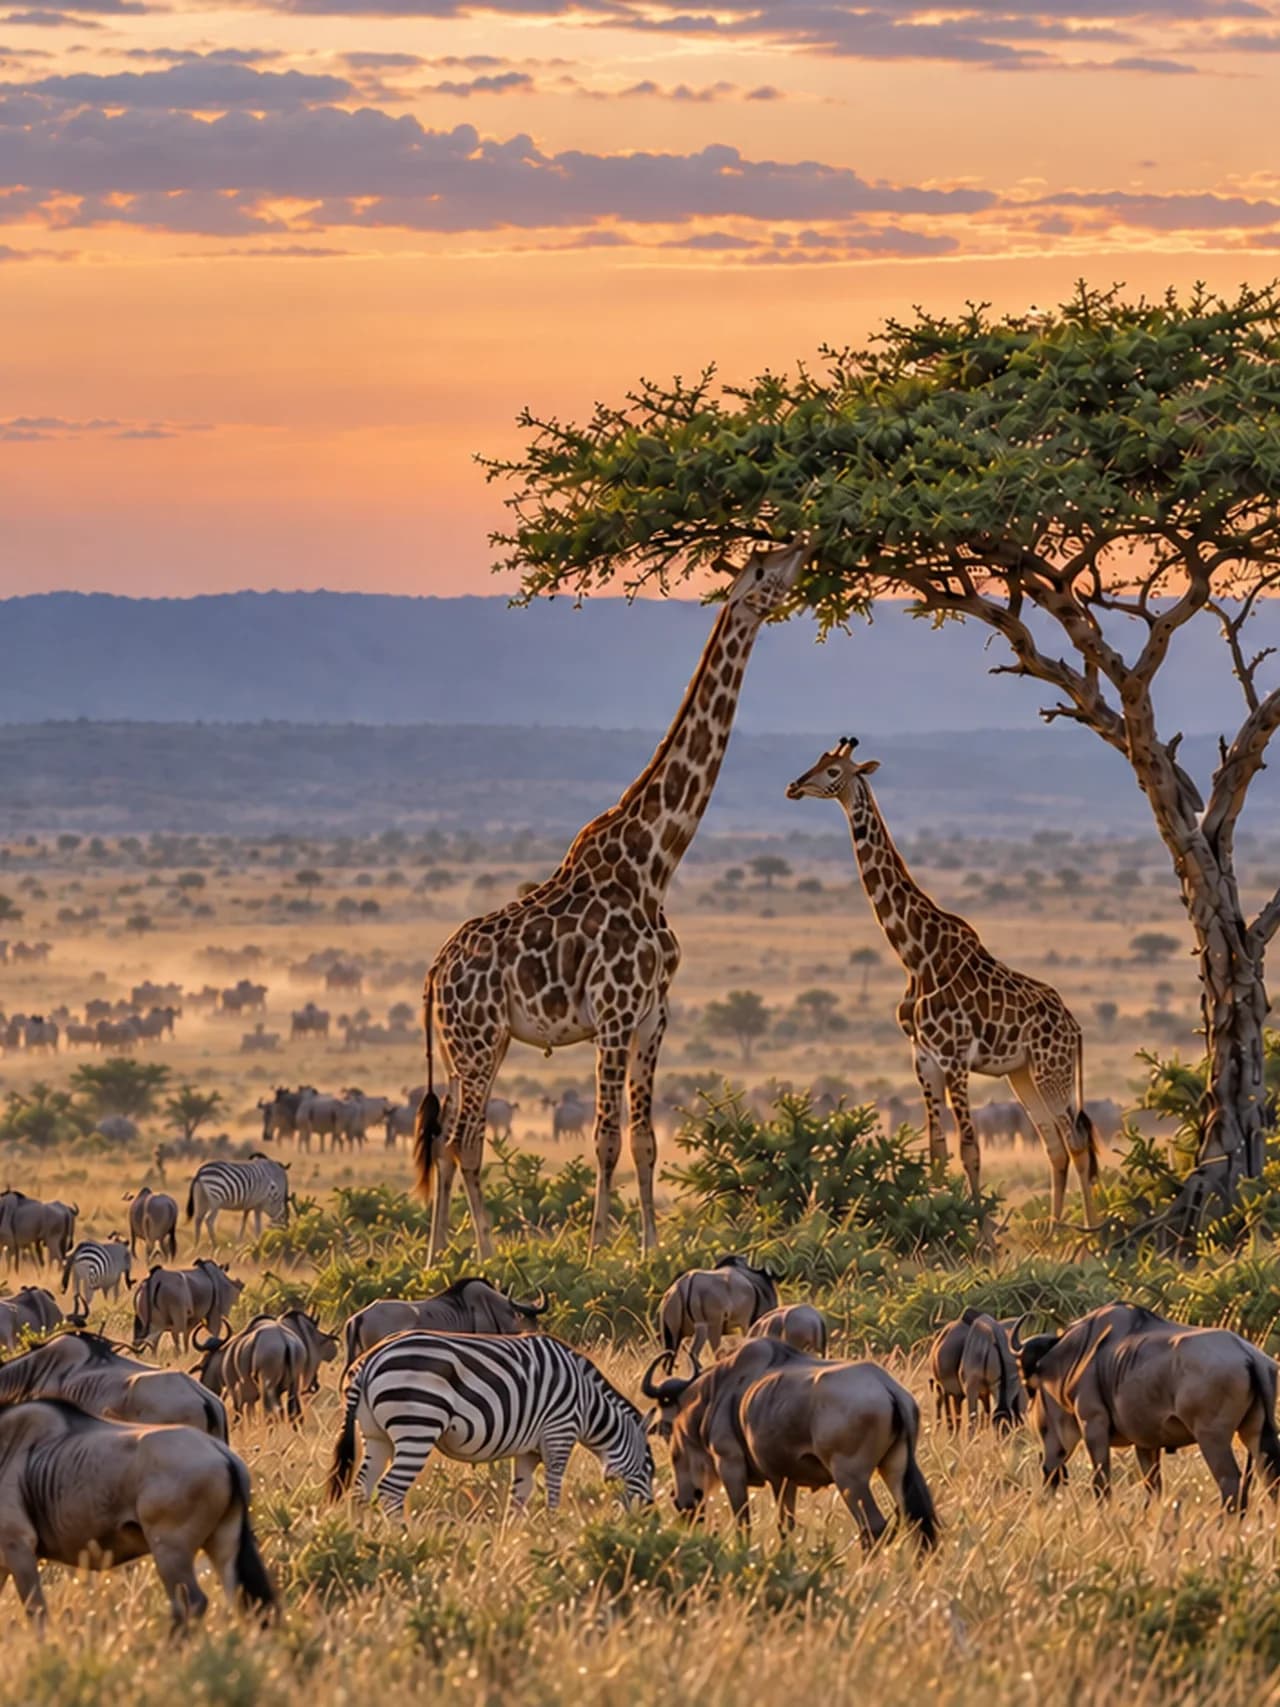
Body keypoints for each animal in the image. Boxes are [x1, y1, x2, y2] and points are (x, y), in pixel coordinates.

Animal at [328, 1331, 654, 1516]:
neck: (587, 1403)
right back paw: (402, 1541)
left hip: (376, 1435)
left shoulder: (529, 1449)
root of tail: (369, 1361)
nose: (649, 1514)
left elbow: (520, 1494)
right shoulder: (559, 1432)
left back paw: (367, 1539)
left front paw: (517, 1536)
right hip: (418, 1425)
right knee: (390, 1490)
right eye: (649, 1469)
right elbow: (553, 1487)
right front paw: (552, 1526)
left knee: (361, 1488)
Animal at [415, 539, 810, 1260]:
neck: (655, 861)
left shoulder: (655, 1016)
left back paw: (437, 1255)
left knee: (452, 1138)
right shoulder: (615, 1014)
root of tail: (435, 971)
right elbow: (605, 1139)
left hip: (473, 1045)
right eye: (764, 569)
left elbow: (646, 1140)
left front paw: (652, 1247)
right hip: (478, 1040)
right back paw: (484, 1252)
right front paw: (598, 1250)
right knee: (462, 1140)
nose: (807, 545)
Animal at [786, 737, 1098, 1225]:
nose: (794, 786)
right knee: (1054, 1145)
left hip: (1053, 1069)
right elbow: (936, 1150)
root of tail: (1075, 1027)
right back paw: (1054, 1233)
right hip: (1023, 1073)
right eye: (817, 761)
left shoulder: (953, 1057)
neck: (916, 955)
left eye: (834, 771)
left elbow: (970, 1150)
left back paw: (1091, 1234)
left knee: (1077, 1143)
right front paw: (935, 1221)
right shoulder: (923, 1057)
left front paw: (982, 1235)